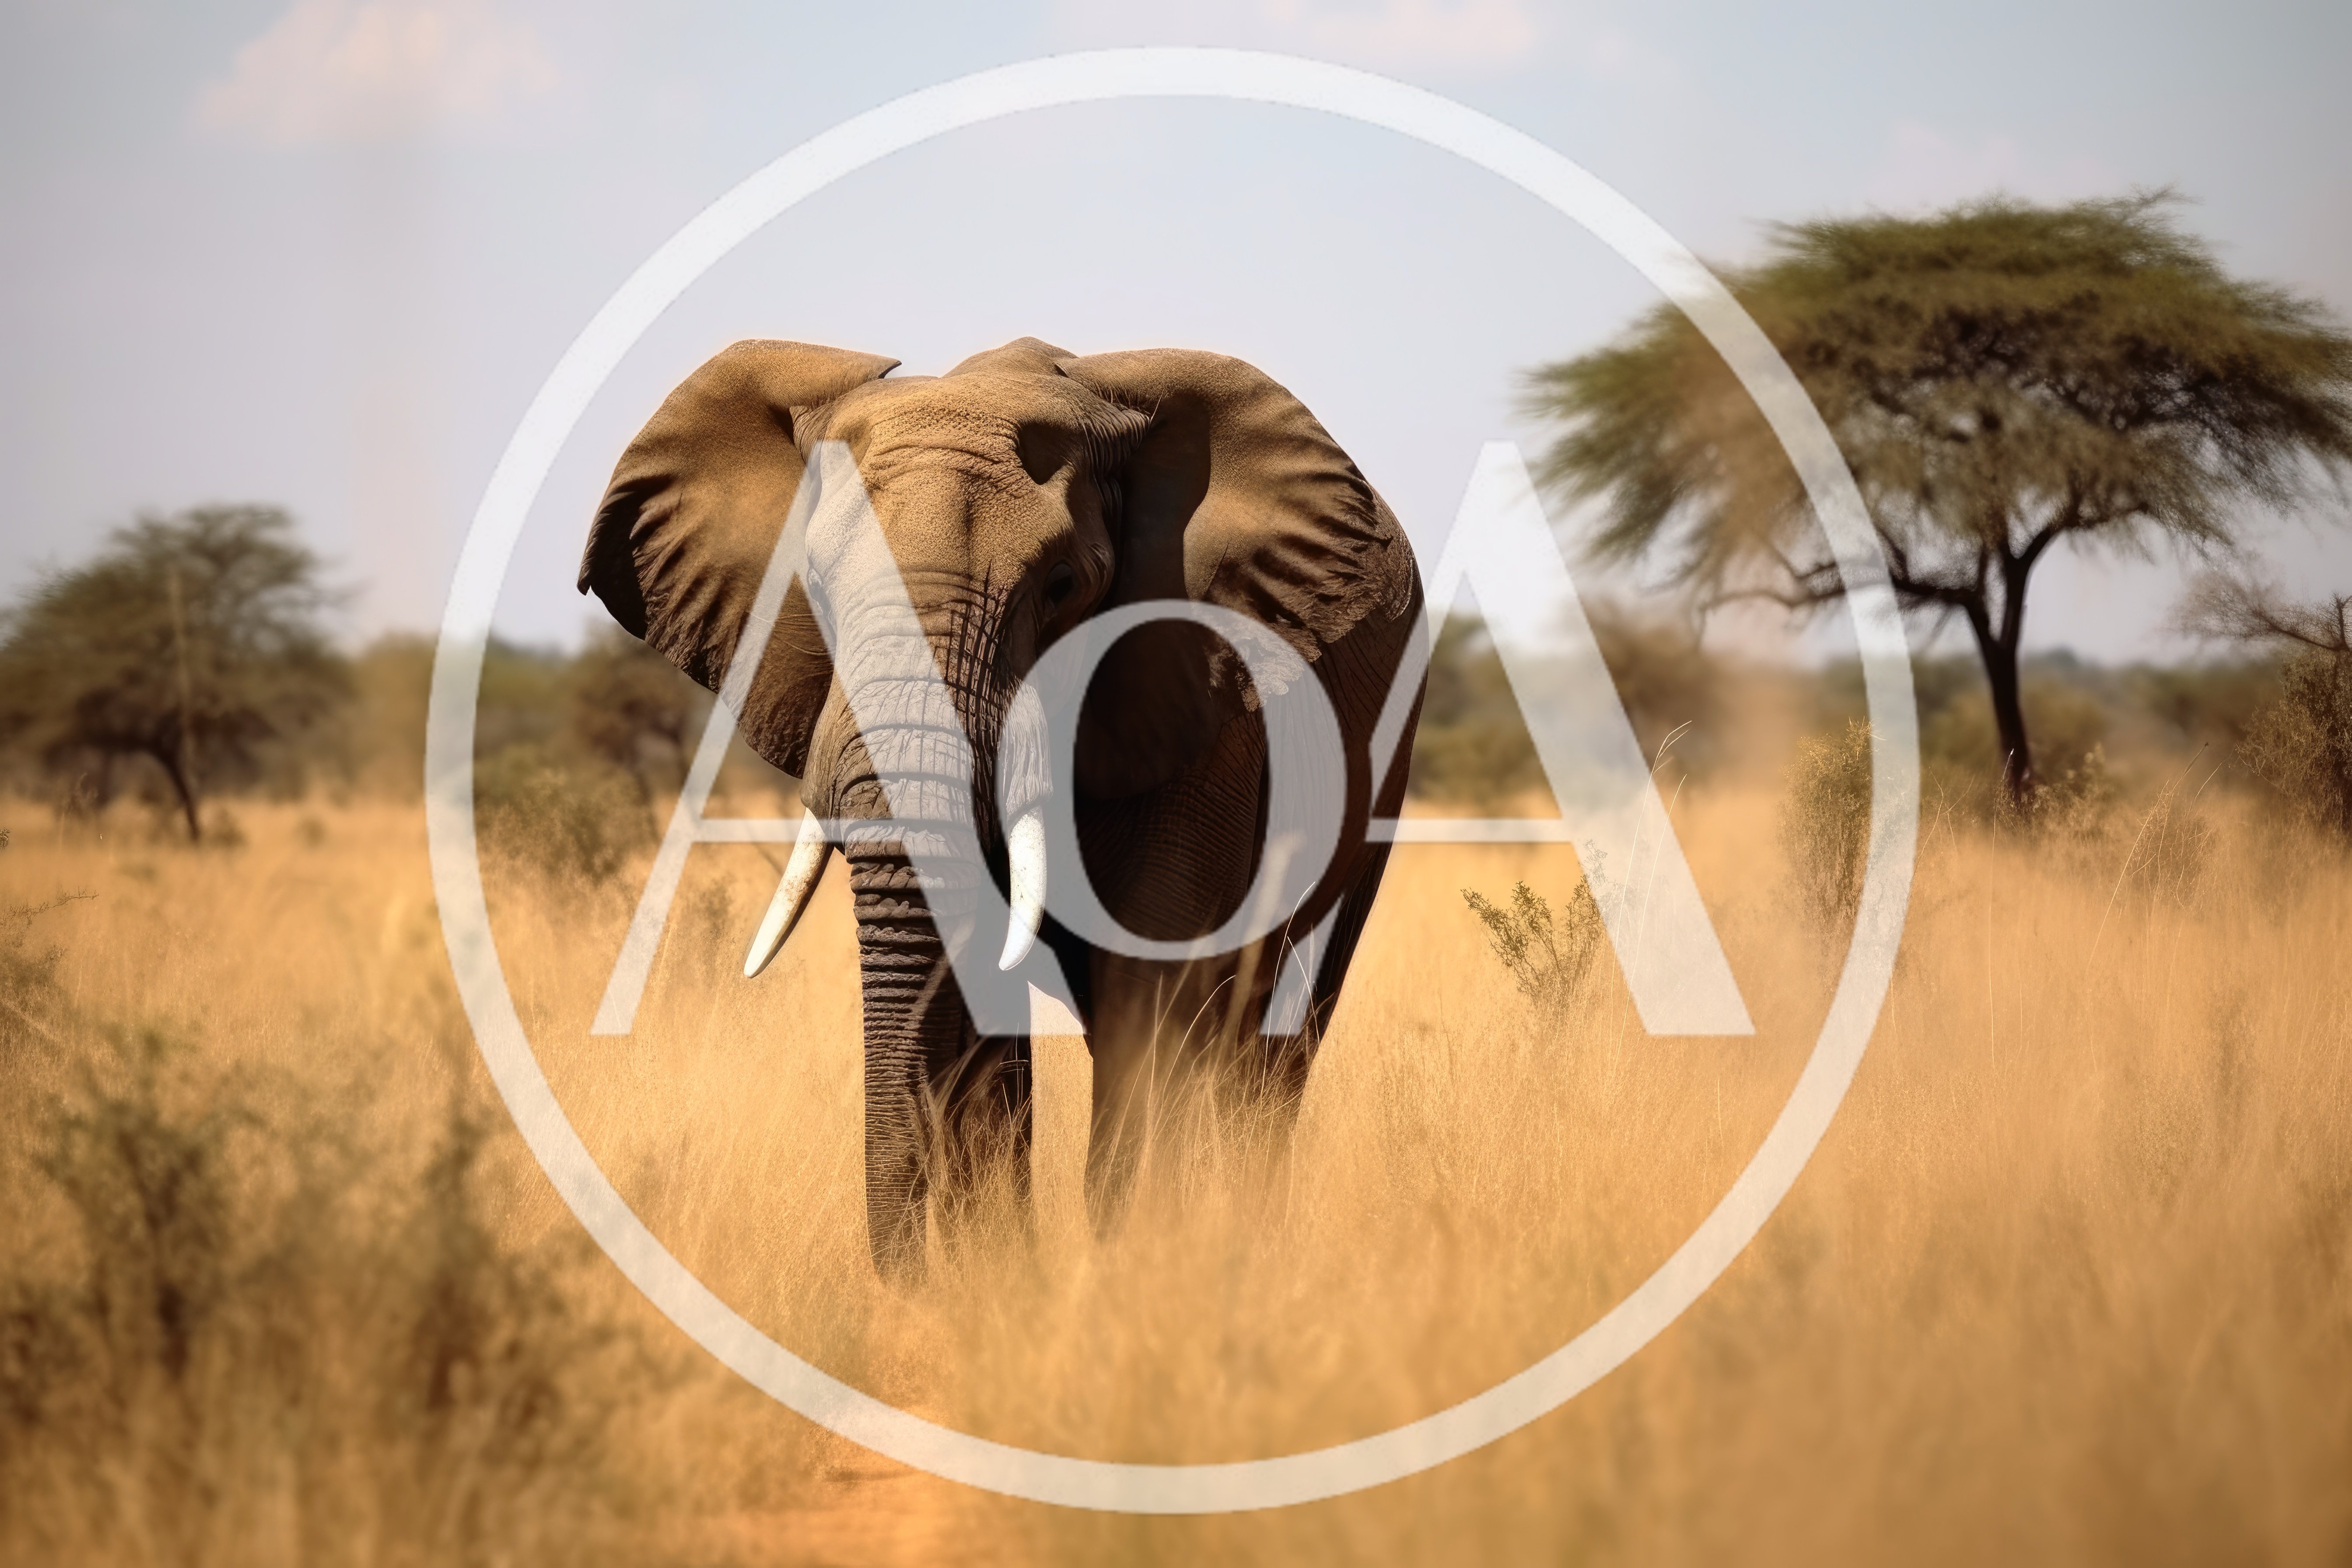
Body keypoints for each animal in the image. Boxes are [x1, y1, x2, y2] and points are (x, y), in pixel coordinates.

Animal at [579, 336, 1424, 1278]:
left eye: (1061, 586)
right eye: (816, 590)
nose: (905, 1287)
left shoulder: (1209, 696)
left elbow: (1146, 987)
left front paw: (1128, 1270)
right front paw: (1003, 1282)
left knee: (1275, 1032)